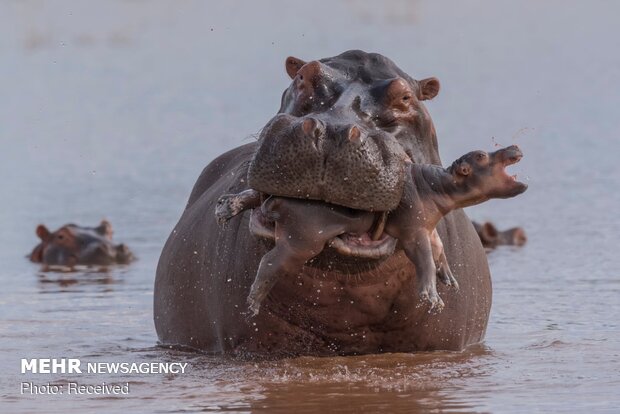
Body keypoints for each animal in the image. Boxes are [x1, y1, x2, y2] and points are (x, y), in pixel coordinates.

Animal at [218, 146, 528, 314]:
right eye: (481, 155)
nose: (513, 146)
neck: (437, 184)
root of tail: (279, 200)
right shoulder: (414, 232)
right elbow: (425, 260)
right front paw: (433, 300)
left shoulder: (428, 228)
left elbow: (438, 250)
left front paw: (450, 280)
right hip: (300, 241)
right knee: (269, 262)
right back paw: (252, 303)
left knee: (253, 195)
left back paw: (225, 208)